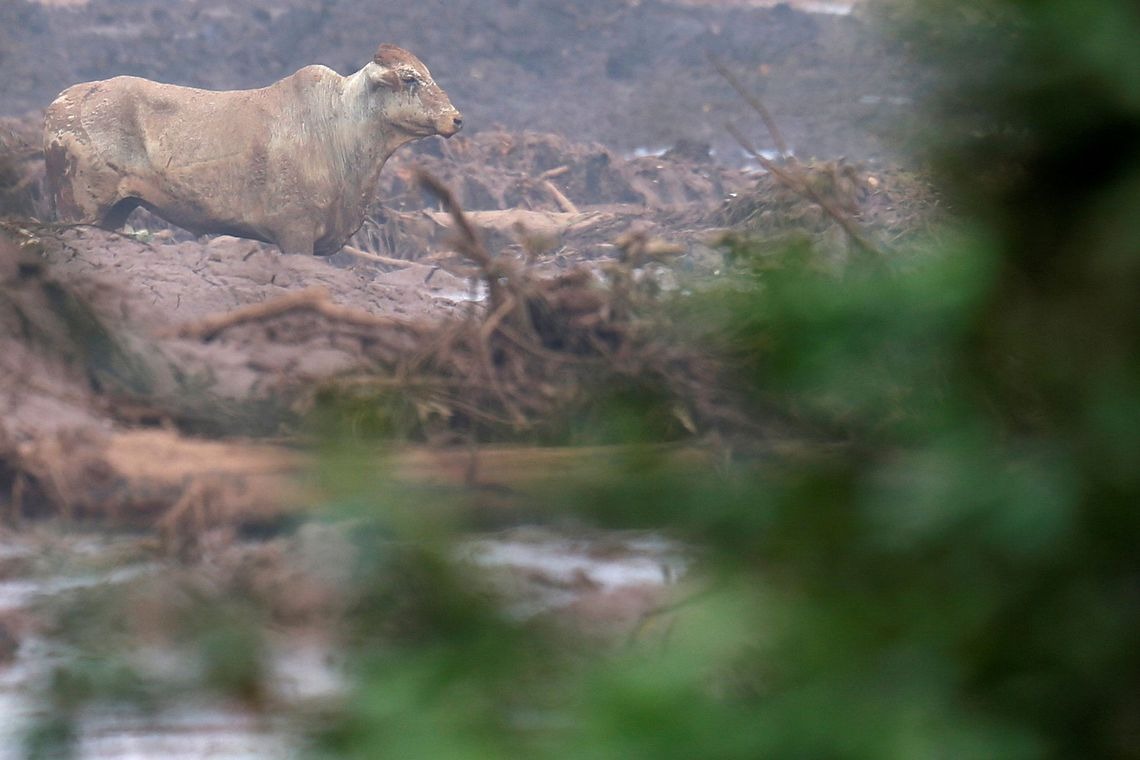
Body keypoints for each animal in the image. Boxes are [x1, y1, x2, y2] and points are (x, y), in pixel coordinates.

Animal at [43, 46, 462, 257]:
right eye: (409, 78)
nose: (455, 119)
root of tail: (58, 103)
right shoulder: (295, 232)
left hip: (115, 213)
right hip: (80, 211)